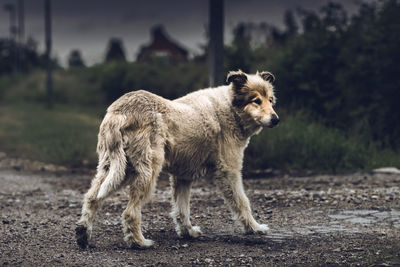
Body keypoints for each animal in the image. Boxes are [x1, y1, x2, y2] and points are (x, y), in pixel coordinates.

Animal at [76, 70, 280, 249]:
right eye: (256, 100)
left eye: (270, 100)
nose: (276, 119)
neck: (230, 108)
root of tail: (120, 110)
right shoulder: (229, 171)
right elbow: (242, 202)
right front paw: (254, 228)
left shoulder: (182, 177)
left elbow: (182, 210)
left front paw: (187, 232)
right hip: (146, 173)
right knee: (130, 213)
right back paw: (139, 243)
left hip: (114, 169)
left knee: (92, 198)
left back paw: (83, 234)